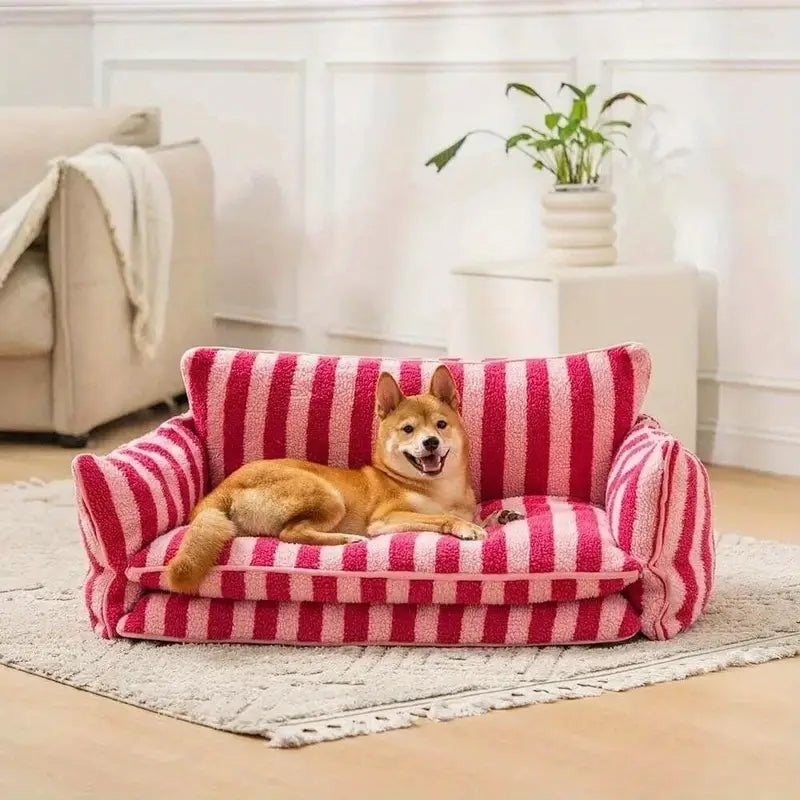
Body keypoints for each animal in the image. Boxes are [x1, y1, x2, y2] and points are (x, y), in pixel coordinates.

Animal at [168, 364, 520, 592]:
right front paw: (464, 527)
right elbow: (440, 519)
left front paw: (500, 516)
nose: (430, 442)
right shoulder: (386, 519)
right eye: (408, 429)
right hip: (327, 495)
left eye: (441, 425)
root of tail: (220, 491)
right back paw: (346, 539)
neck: (438, 488)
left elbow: (477, 516)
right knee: (290, 533)